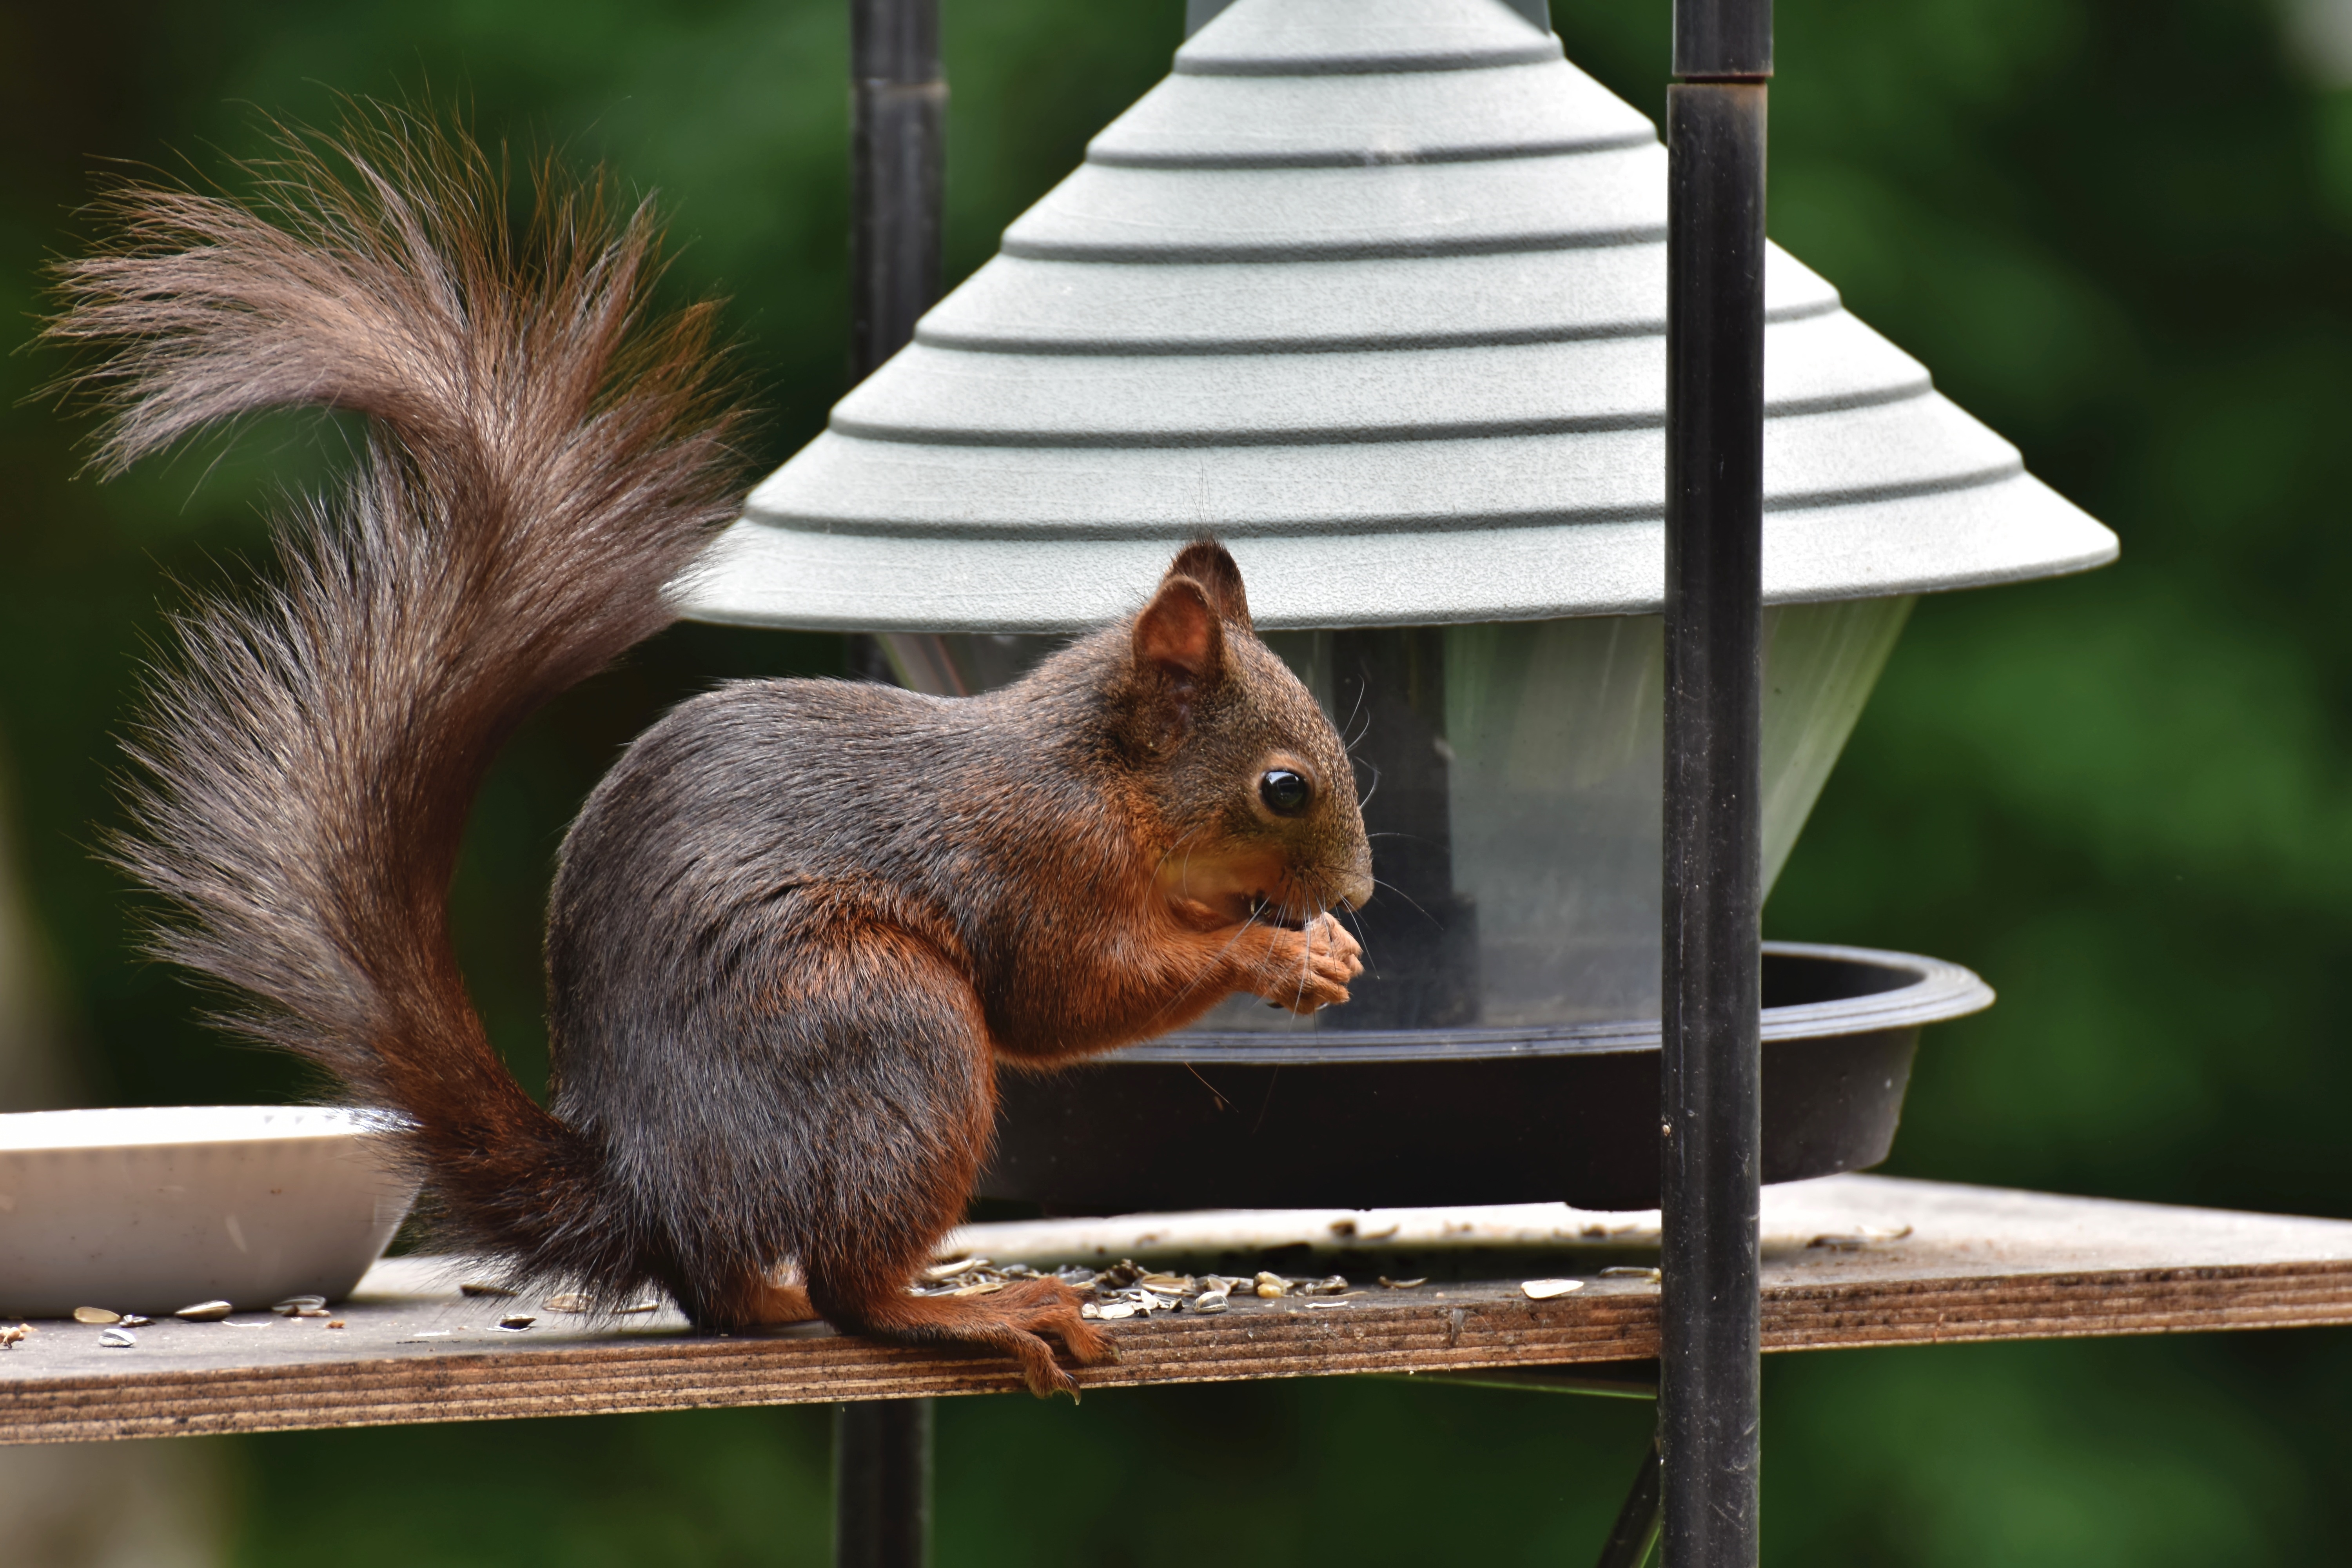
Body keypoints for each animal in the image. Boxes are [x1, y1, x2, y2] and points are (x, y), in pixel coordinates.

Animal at [45, 115, 1373, 1398]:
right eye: (1283, 787)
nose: (1358, 892)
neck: (1104, 783)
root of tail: (652, 1190)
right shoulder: (1030, 860)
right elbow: (1071, 994)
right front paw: (1275, 951)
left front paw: (1325, 947)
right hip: (888, 1029)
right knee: (857, 1284)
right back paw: (972, 1310)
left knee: (734, 1296)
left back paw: (775, 1304)